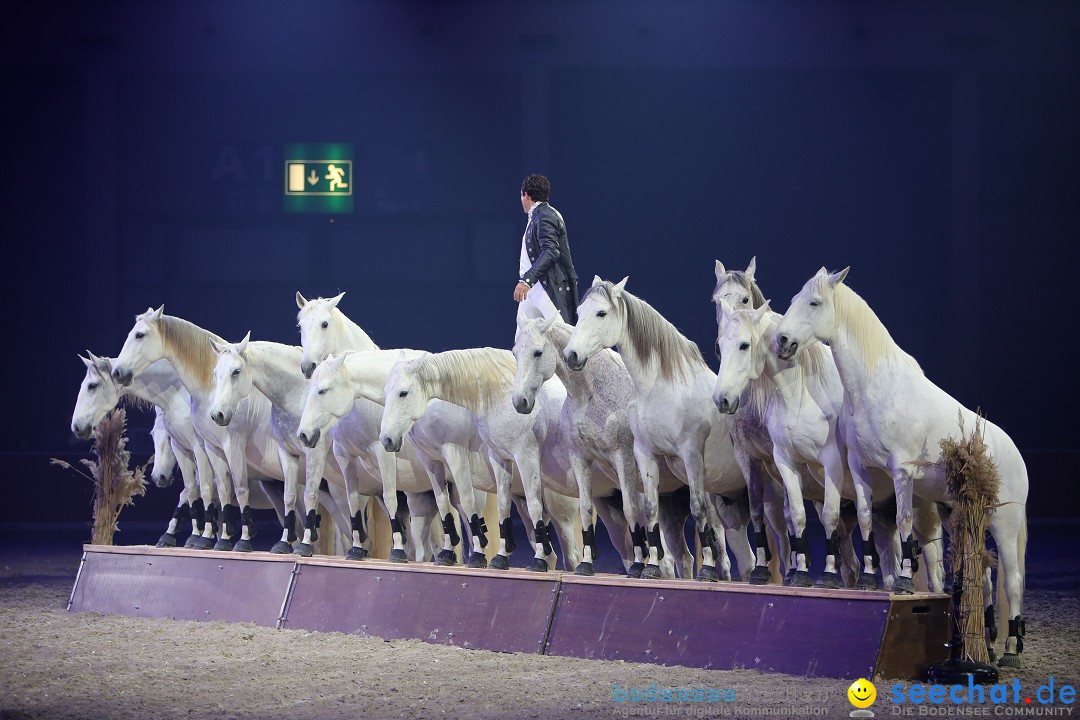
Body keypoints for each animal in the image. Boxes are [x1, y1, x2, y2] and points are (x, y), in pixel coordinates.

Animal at [380, 349, 583, 574]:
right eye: (386, 392)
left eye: (403, 393)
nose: (387, 439)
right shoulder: (433, 462)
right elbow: (447, 506)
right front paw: (451, 553)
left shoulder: (460, 454)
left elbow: (469, 502)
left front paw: (478, 555)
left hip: (559, 507)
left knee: (572, 554)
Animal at [507, 317, 686, 578]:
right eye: (515, 353)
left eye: (538, 352)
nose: (520, 401)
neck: (591, 395)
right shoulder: (580, 459)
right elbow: (585, 510)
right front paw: (586, 564)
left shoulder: (622, 458)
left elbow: (631, 511)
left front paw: (639, 567)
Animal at [561, 278, 756, 582]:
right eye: (579, 313)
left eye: (601, 313)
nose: (571, 355)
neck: (660, 387)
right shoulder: (645, 454)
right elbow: (648, 510)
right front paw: (650, 567)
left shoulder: (690, 454)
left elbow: (697, 510)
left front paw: (704, 571)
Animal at [777, 267, 1028, 669]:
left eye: (814, 303)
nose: (782, 340)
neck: (876, 388)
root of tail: (1015, 452)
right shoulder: (861, 469)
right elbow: (865, 519)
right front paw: (868, 580)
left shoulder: (902, 472)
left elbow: (904, 524)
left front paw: (905, 582)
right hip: (963, 515)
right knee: (985, 573)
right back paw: (988, 647)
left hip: (1005, 523)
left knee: (1012, 579)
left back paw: (1009, 651)